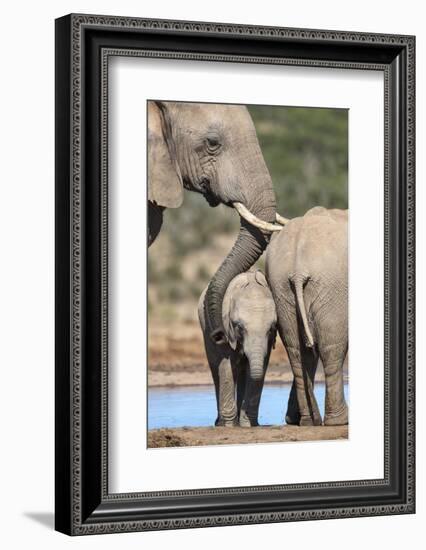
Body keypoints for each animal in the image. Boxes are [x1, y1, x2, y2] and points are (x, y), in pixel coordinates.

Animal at [199, 272, 278, 432]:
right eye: (239, 327)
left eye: (271, 328)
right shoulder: (225, 329)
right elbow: (227, 367)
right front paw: (230, 425)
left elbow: (256, 371)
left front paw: (248, 424)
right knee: (217, 370)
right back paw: (221, 423)